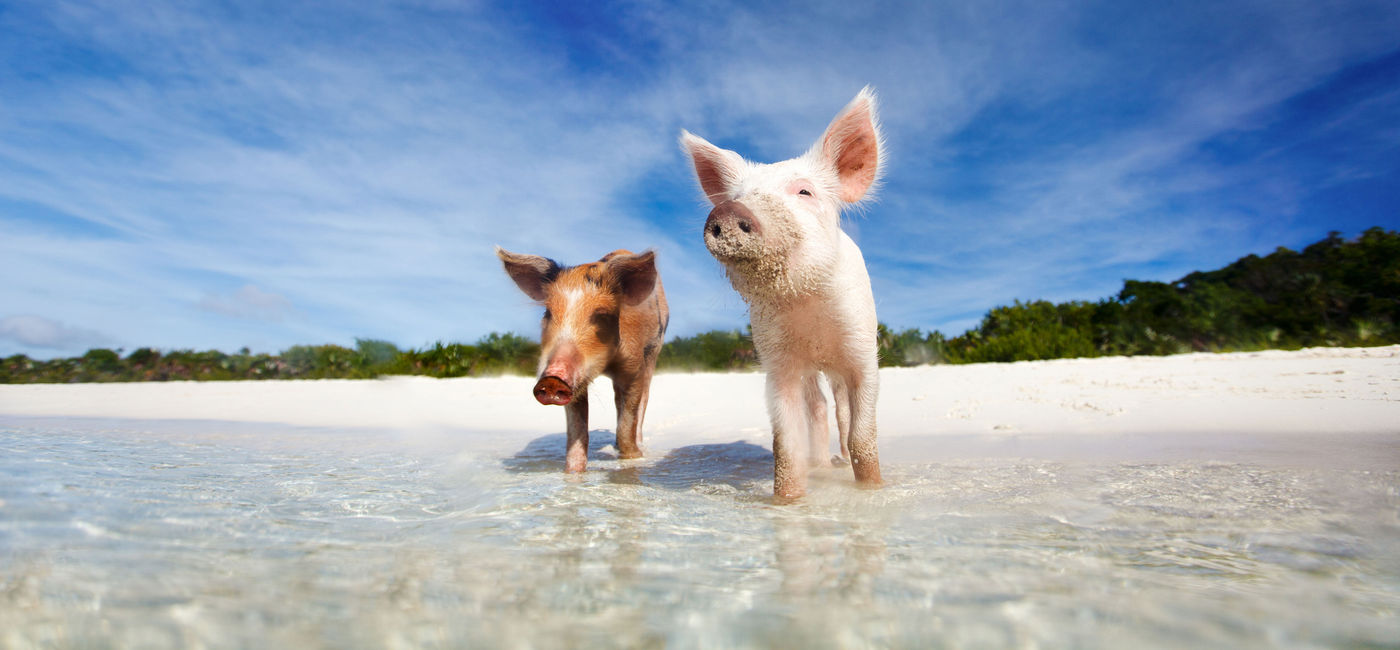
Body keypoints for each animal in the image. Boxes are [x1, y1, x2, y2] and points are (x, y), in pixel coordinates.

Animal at [496, 247, 668, 473]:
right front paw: (573, 473)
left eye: (601, 315)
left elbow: (627, 424)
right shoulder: (575, 385)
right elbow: (577, 436)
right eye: (547, 313)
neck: (607, 364)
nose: (551, 379)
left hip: (654, 352)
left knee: (644, 399)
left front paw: (633, 458)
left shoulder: (634, 367)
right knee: (616, 400)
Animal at [680, 87, 884, 501]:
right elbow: (786, 445)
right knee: (818, 408)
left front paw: (873, 490)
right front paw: (787, 501)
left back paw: (839, 462)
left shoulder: (862, 348)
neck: (806, 303)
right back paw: (822, 466)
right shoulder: (777, 360)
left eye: (804, 191)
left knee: (839, 409)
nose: (727, 211)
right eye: (738, 195)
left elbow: (862, 436)